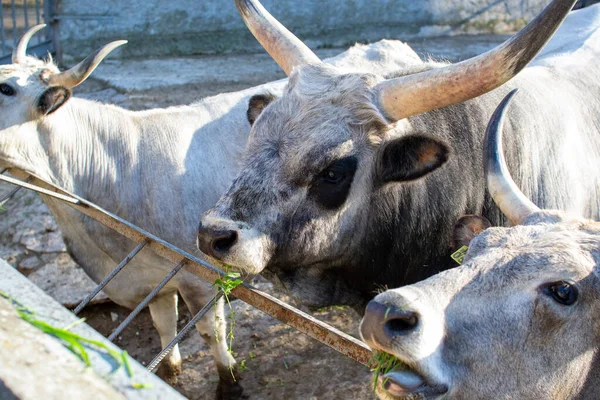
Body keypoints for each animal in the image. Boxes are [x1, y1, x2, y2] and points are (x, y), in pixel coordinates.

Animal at [1, 25, 432, 400]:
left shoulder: (199, 278)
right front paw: (169, 371)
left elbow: (211, 332)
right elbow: (163, 325)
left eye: (6, 89)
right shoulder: (153, 274)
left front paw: (229, 384)